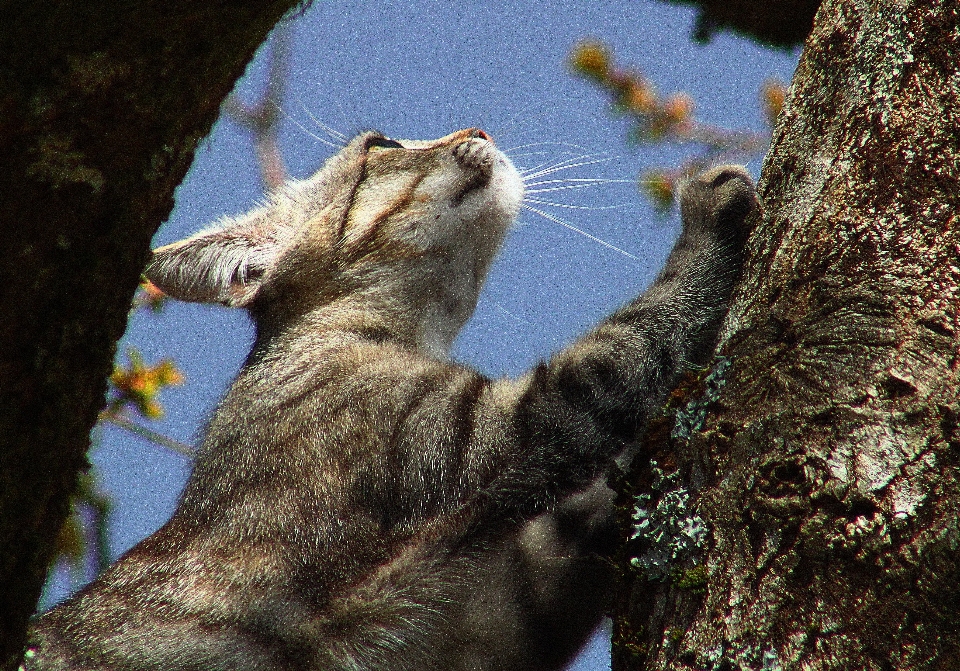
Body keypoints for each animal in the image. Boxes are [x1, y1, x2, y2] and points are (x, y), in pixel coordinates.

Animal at [28, 127, 756, 671]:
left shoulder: (492, 621)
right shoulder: (490, 429)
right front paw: (710, 217)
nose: (480, 129)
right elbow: (636, 334)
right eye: (382, 143)